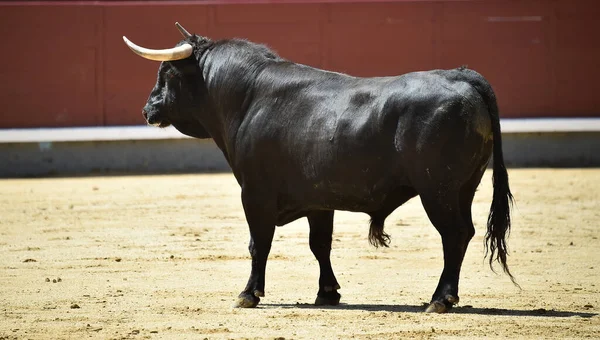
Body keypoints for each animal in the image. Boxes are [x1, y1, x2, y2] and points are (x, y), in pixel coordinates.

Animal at [123, 24, 516, 314]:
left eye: (167, 73)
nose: (147, 109)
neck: (248, 98)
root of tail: (462, 76)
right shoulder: (318, 200)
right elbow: (320, 245)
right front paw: (327, 292)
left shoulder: (254, 193)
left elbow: (258, 243)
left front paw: (249, 294)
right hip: (464, 188)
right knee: (464, 233)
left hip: (437, 191)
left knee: (455, 235)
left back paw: (439, 299)